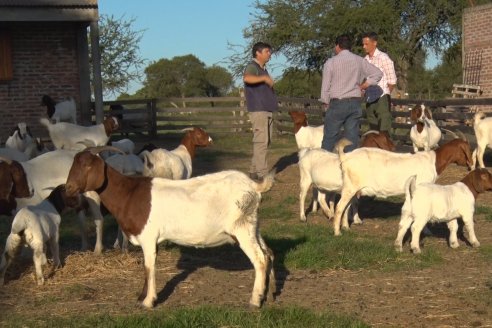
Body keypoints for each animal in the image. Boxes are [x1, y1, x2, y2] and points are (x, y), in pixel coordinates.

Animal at [64, 148, 276, 308]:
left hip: (241, 227)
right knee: (269, 253)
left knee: (260, 259)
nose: (68, 189)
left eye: (87, 165)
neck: (129, 194)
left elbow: (149, 266)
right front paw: (141, 296)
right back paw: (270, 294)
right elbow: (146, 267)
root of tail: (254, 186)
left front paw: (148, 301)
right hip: (253, 225)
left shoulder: (148, 237)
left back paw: (255, 300)